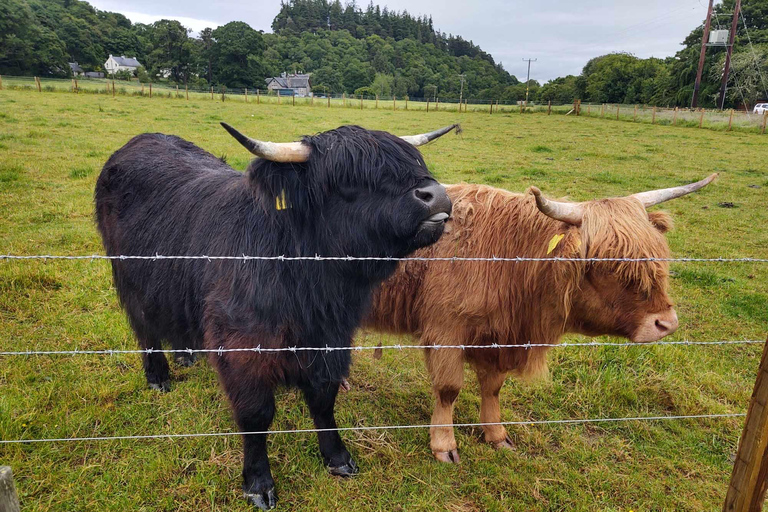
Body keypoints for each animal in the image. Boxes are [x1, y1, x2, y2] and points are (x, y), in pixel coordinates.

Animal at [95, 122, 456, 510]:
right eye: (348, 179)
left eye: (413, 161)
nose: (437, 194)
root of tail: (141, 140)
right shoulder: (242, 348)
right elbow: (256, 415)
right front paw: (258, 482)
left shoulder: (331, 340)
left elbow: (324, 399)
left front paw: (338, 457)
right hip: (129, 278)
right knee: (144, 326)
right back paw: (158, 376)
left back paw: (186, 354)